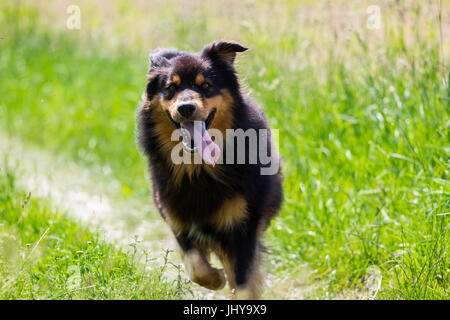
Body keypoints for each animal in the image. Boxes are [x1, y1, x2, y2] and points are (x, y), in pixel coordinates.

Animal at [137, 40, 284, 300]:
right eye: (170, 88)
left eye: (205, 85)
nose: (186, 108)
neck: (198, 169)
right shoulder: (178, 218)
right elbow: (195, 265)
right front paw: (216, 278)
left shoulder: (243, 225)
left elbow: (242, 281)